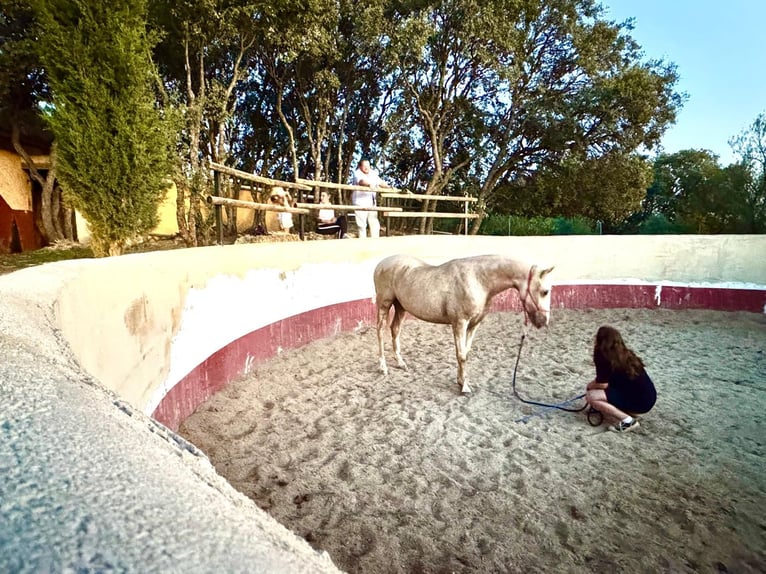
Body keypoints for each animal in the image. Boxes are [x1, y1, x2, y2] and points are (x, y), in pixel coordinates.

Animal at [376, 256, 556, 396]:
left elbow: (466, 353)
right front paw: (465, 387)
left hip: (400, 307)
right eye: (545, 291)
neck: (478, 280)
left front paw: (461, 380)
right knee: (380, 331)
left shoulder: (474, 325)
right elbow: (461, 355)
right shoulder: (460, 323)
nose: (544, 321)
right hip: (384, 304)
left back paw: (401, 363)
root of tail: (382, 263)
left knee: (395, 329)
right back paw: (383, 367)